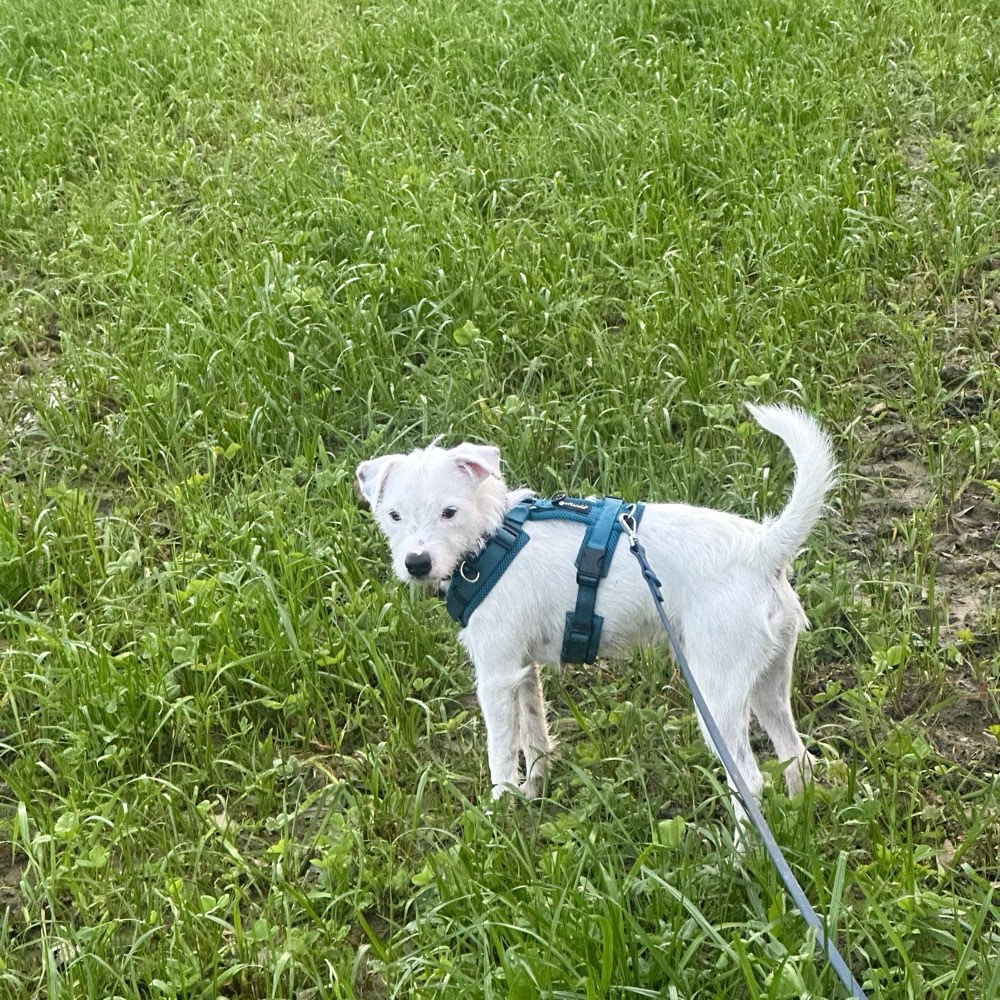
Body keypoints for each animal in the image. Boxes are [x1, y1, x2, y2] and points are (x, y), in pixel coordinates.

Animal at [360, 406, 836, 844]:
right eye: (394, 516)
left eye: (449, 512)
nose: (416, 563)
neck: (490, 539)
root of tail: (764, 549)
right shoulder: (522, 669)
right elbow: (534, 736)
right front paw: (533, 792)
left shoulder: (495, 677)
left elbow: (501, 753)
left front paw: (498, 818)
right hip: (767, 682)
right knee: (797, 756)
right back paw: (801, 823)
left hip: (717, 697)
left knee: (750, 782)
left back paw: (740, 860)